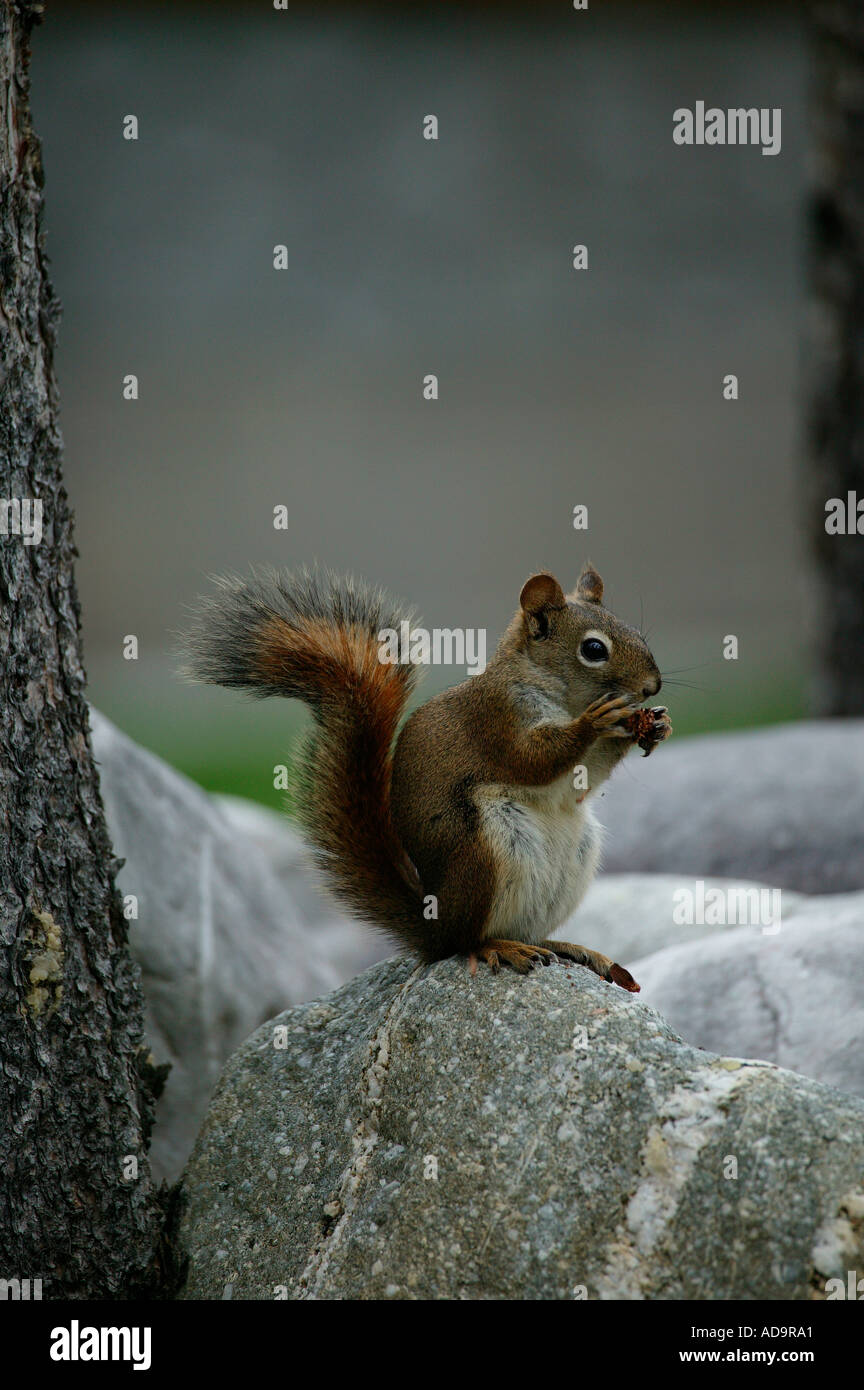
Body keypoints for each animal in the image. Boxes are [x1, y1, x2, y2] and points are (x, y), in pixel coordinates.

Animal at [182, 563, 671, 992]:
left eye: (634, 631)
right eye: (594, 649)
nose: (652, 687)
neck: (559, 694)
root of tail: (434, 926)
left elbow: (590, 773)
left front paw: (654, 725)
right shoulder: (497, 719)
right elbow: (534, 759)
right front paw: (594, 722)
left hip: (572, 860)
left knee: (523, 931)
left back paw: (568, 948)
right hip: (482, 852)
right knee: (465, 942)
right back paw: (498, 947)